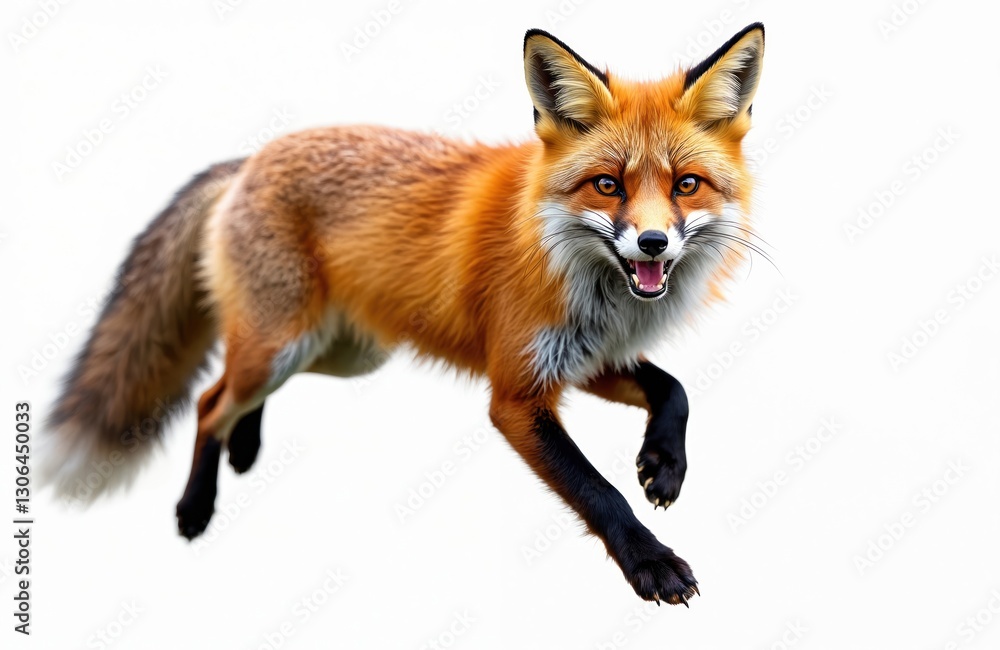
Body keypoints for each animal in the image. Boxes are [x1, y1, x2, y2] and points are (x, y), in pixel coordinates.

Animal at [42, 24, 765, 605]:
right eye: (608, 185)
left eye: (686, 185)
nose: (653, 243)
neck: (583, 277)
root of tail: (252, 158)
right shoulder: (515, 392)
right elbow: (597, 490)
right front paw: (650, 562)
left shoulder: (581, 360)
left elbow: (673, 387)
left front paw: (663, 464)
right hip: (284, 346)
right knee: (208, 400)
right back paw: (196, 507)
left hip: (339, 353)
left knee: (230, 390)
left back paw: (246, 447)